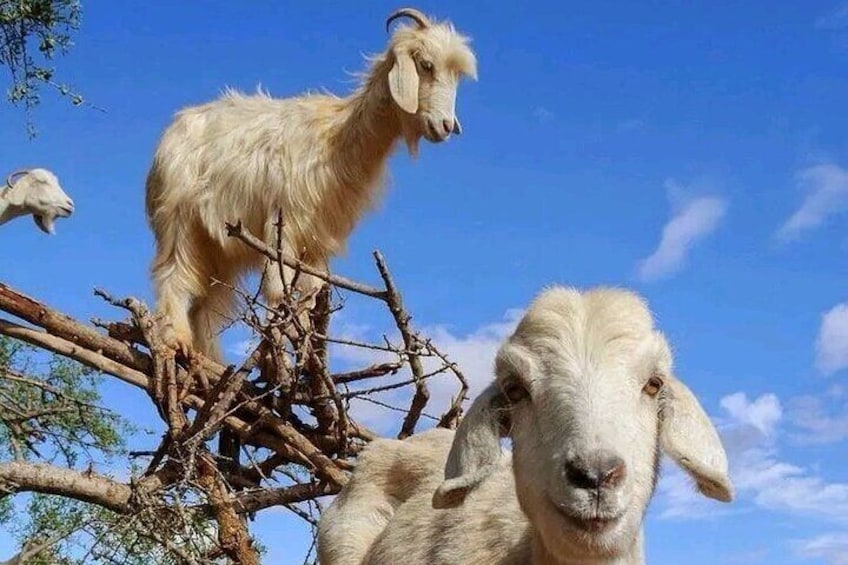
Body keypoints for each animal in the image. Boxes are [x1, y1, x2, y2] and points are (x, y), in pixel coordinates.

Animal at [144, 7, 478, 361]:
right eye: (426, 65)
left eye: (456, 76)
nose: (445, 126)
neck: (333, 138)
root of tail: (170, 134)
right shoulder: (282, 223)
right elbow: (279, 288)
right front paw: (290, 334)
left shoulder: (317, 240)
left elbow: (310, 292)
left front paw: (306, 341)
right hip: (178, 220)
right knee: (174, 275)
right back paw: (177, 340)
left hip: (220, 248)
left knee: (205, 304)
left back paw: (210, 360)